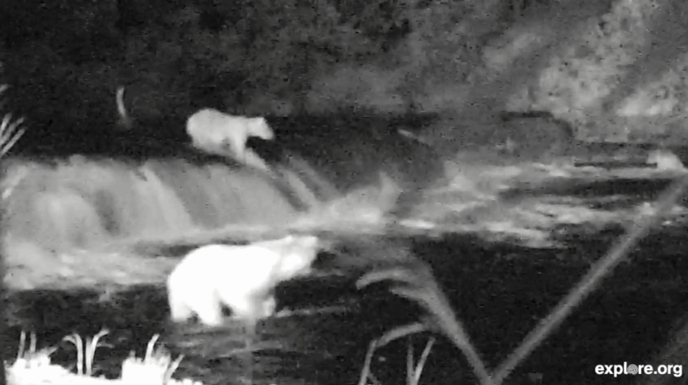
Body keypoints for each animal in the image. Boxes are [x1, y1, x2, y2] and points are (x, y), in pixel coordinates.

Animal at [167, 232, 320, 326]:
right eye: (310, 256)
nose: (315, 238)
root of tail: (173, 275)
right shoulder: (247, 276)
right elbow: (237, 296)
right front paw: (252, 314)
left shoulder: (266, 284)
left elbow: (266, 298)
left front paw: (268, 311)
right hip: (198, 285)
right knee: (208, 306)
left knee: (181, 309)